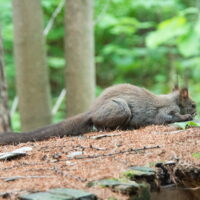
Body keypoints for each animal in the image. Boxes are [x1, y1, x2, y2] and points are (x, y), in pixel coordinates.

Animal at [0, 83, 196, 145]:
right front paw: (186, 117)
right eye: (193, 104)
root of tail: (92, 110)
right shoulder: (164, 111)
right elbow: (168, 118)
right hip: (121, 109)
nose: (196, 111)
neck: (174, 100)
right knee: (100, 124)